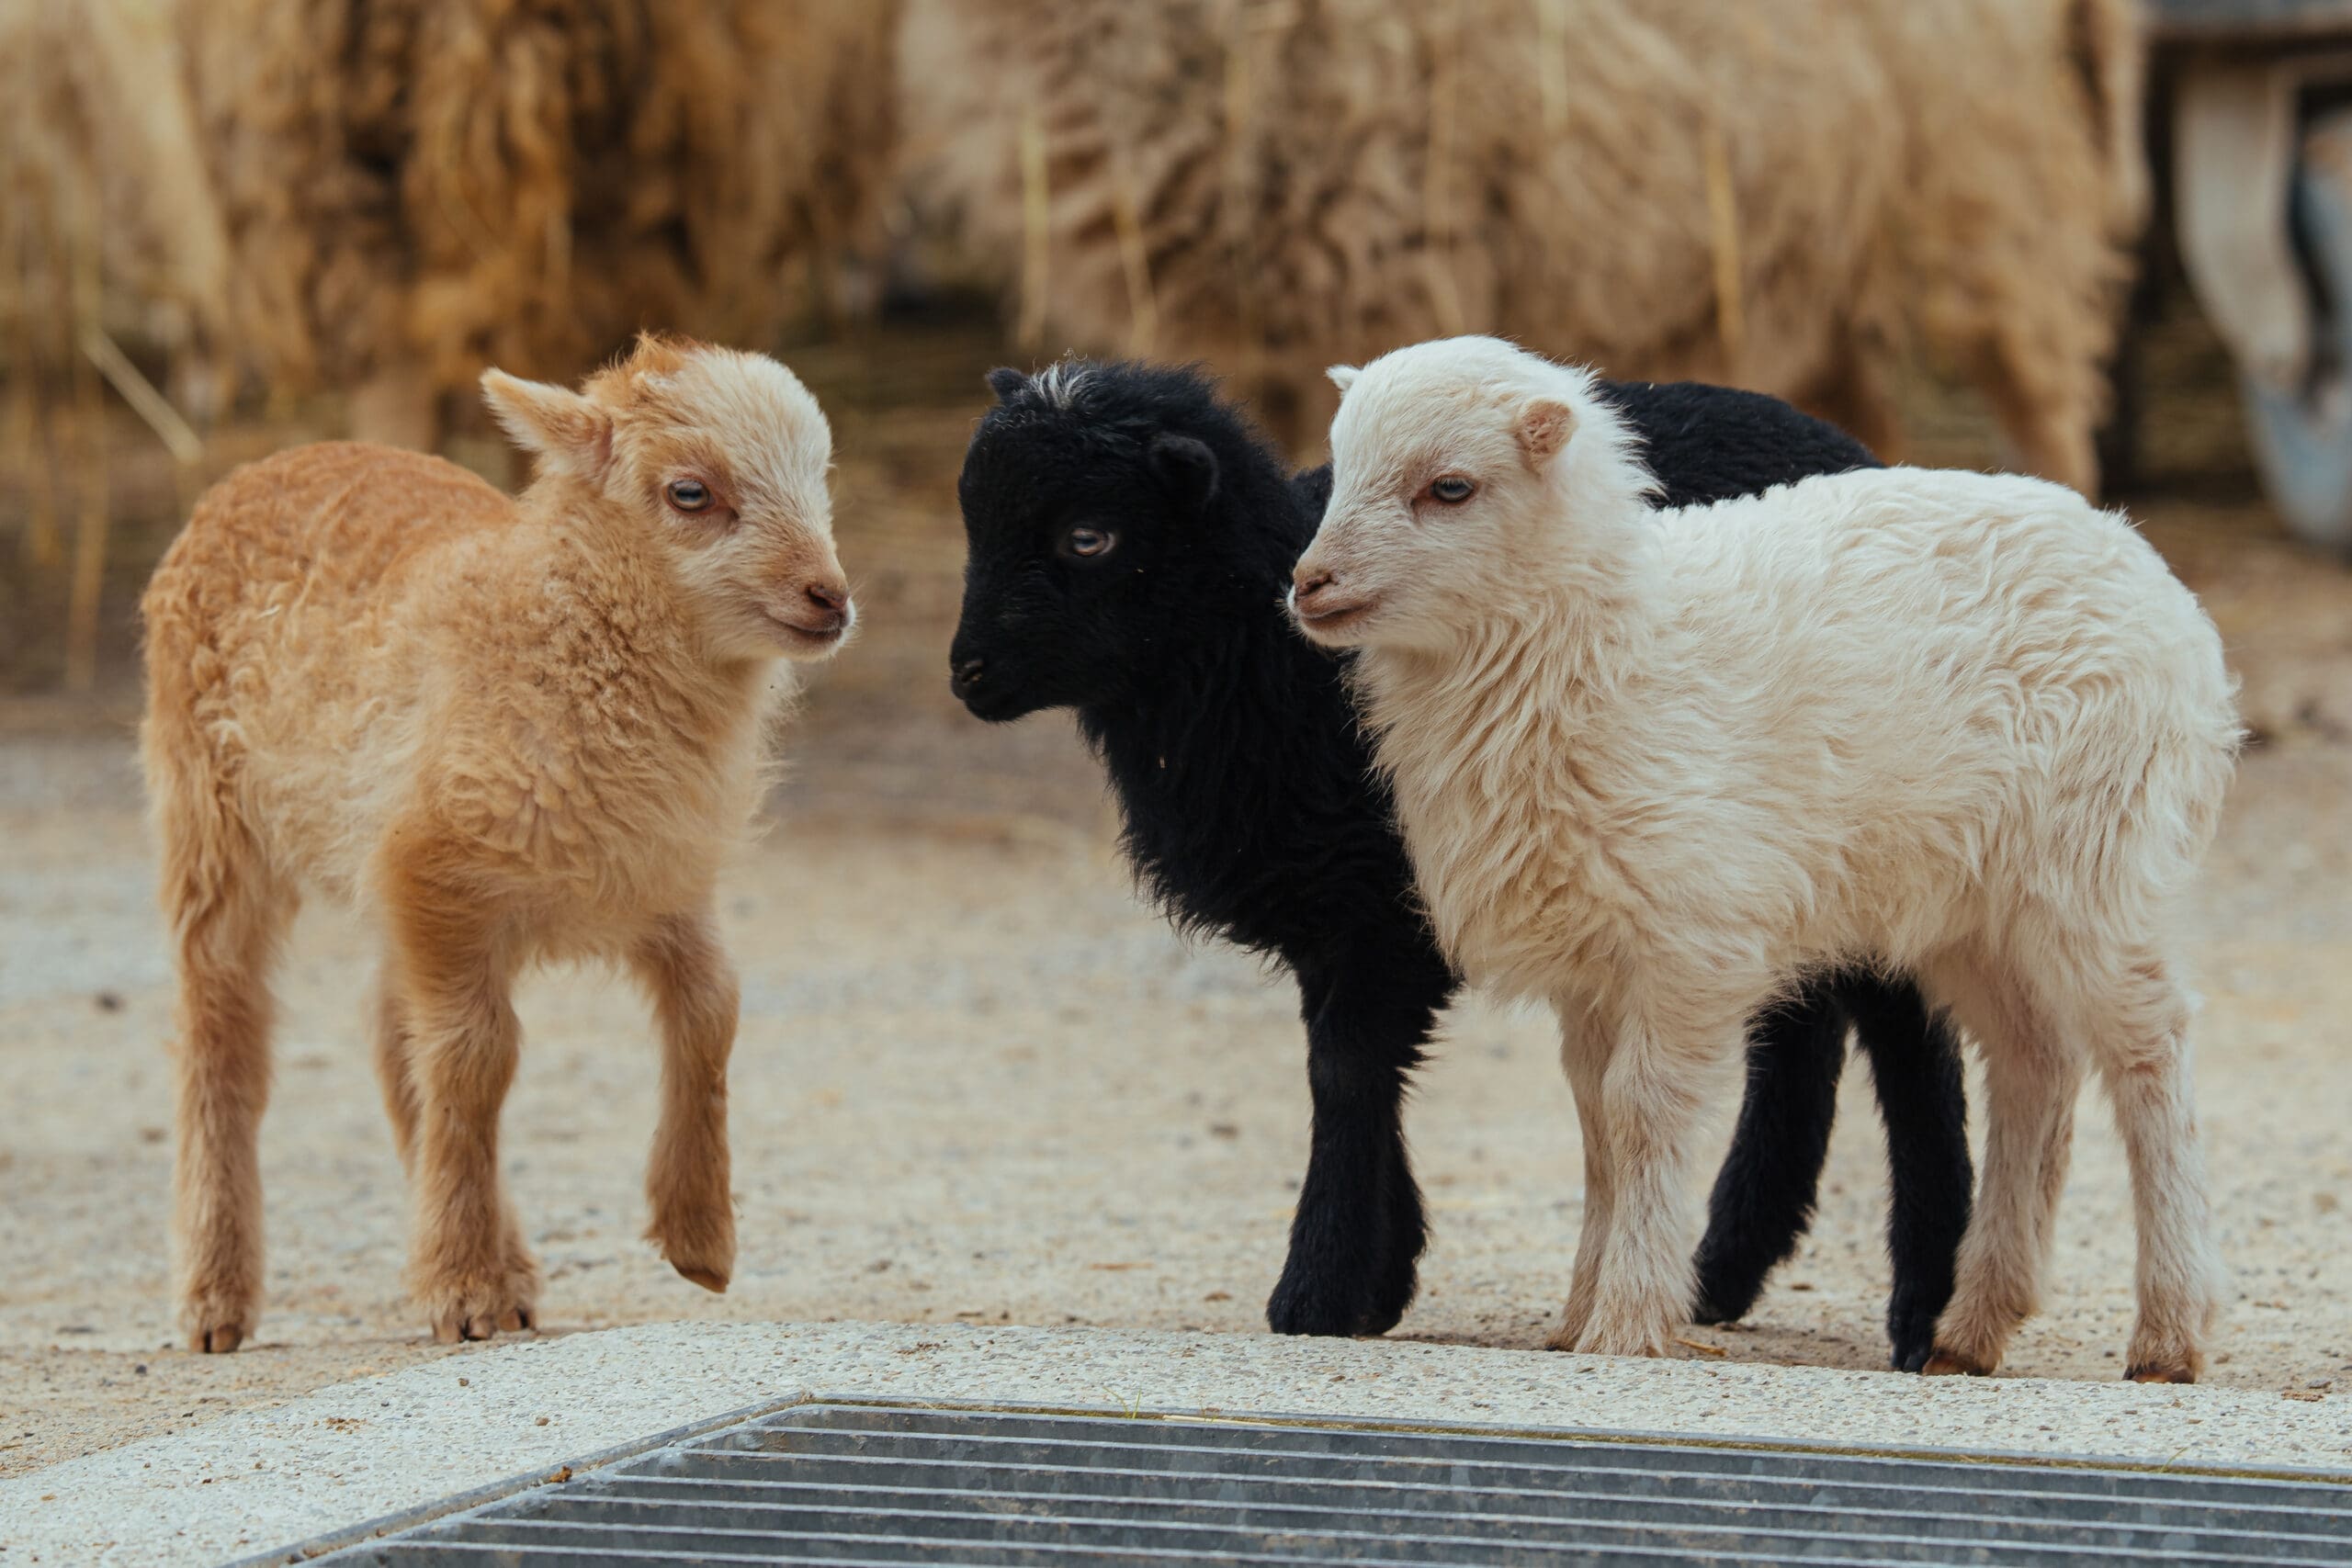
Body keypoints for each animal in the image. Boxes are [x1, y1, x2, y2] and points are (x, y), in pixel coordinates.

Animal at [139, 334, 853, 1350]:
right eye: (690, 492)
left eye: (818, 475)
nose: (829, 597)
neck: (552, 631)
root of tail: (264, 466)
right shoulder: (441, 878)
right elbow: (476, 1063)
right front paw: (466, 1285)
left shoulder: (654, 881)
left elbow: (712, 1015)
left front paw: (699, 1236)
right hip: (209, 814)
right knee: (223, 1031)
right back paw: (217, 1296)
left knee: (386, 1034)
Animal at [948, 358, 1973, 1367]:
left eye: (1089, 537)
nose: (966, 674)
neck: (1268, 668)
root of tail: (1854, 449)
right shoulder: (1345, 920)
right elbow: (1349, 1073)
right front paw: (1381, 1274)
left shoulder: (1382, 919)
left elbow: (1346, 1077)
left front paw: (1319, 1287)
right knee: (1798, 1037)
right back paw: (1724, 1269)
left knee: (1908, 1044)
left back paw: (1924, 1306)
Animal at [1292, 336, 2237, 1379]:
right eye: (1341, 469)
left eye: (1450, 487)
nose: (1308, 584)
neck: (1596, 648)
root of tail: (2146, 566)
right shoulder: (1594, 964)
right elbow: (1596, 1125)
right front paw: (1579, 1316)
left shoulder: (1689, 940)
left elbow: (1643, 1113)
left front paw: (1626, 1321)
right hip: (1973, 906)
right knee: (2033, 1062)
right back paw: (1974, 1325)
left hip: (2097, 862)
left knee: (2150, 1052)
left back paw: (2168, 1332)